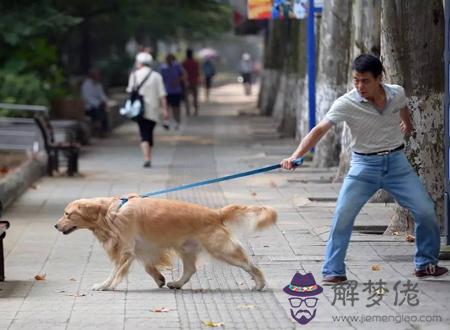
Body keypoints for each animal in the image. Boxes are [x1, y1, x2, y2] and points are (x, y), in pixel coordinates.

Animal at [54, 195, 276, 290]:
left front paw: (105, 285)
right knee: (189, 270)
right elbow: (148, 266)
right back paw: (176, 283)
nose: (55, 226)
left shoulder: (126, 249)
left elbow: (115, 272)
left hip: (221, 249)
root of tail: (215, 213)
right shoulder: (141, 247)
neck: (110, 211)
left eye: (67, 214)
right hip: (186, 249)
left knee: (250, 265)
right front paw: (159, 278)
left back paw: (260, 283)